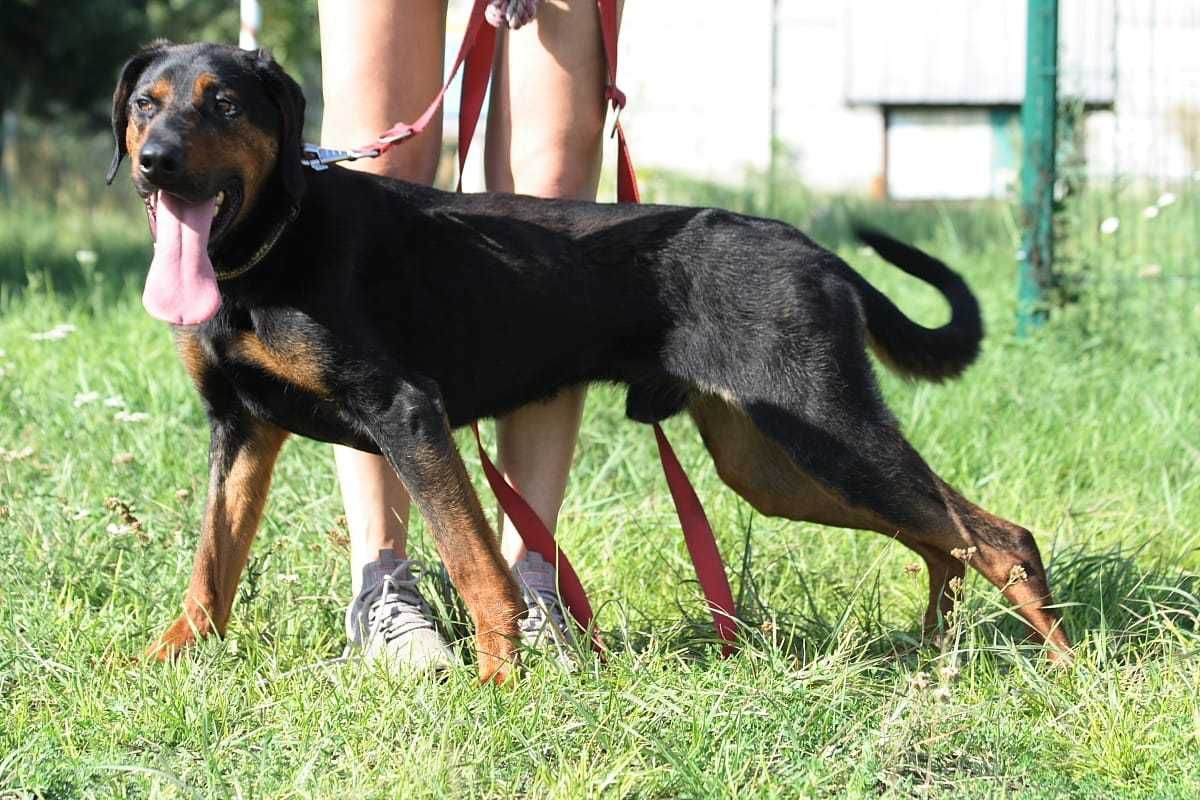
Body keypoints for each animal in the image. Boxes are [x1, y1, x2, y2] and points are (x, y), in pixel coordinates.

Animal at [110, 43, 1070, 681]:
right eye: (145, 104)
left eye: (226, 105)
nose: (154, 163)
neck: (268, 248)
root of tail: (818, 254)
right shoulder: (240, 430)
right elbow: (210, 566)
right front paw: (163, 663)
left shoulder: (407, 413)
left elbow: (479, 567)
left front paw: (500, 685)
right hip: (773, 463)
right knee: (945, 537)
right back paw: (940, 654)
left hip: (830, 432)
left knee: (1001, 538)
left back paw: (1067, 672)